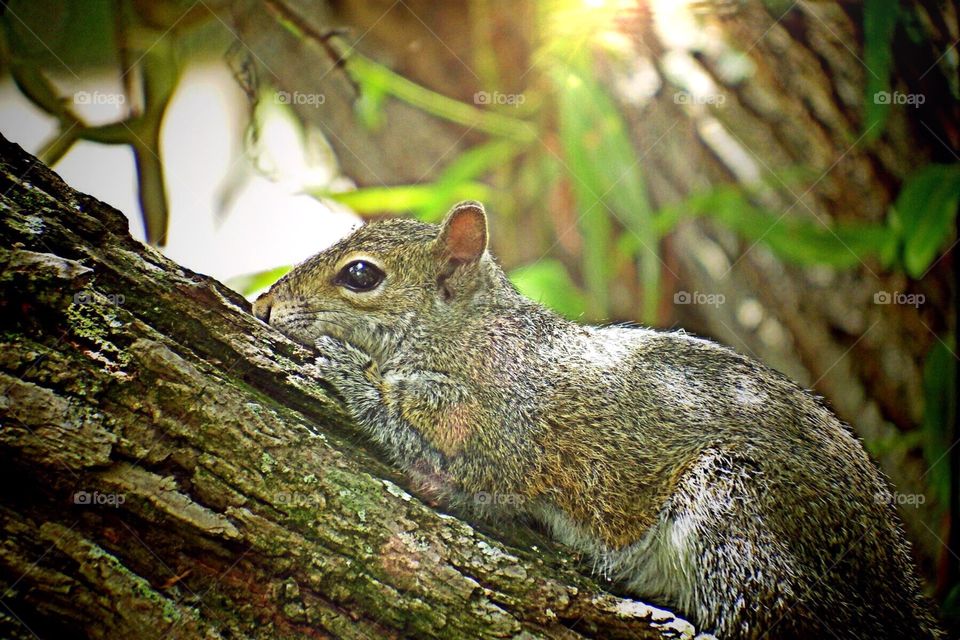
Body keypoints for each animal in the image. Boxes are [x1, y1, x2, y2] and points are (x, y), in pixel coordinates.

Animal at [252, 201, 943, 639]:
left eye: (360, 275)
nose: (264, 305)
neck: (467, 334)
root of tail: (893, 589)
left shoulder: (502, 424)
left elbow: (426, 438)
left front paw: (348, 369)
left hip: (740, 514)